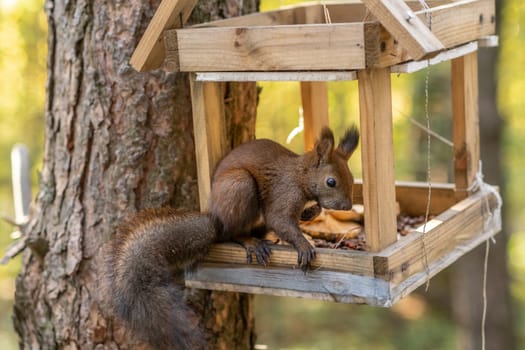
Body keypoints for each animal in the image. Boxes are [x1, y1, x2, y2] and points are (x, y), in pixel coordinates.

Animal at [98, 126, 358, 350]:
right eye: (331, 181)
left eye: (351, 177)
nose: (347, 206)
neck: (301, 175)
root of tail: (215, 219)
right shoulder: (284, 193)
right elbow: (280, 221)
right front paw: (303, 245)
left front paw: (312, 212)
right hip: (239, 187)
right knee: (234, 232)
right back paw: (251, 243)